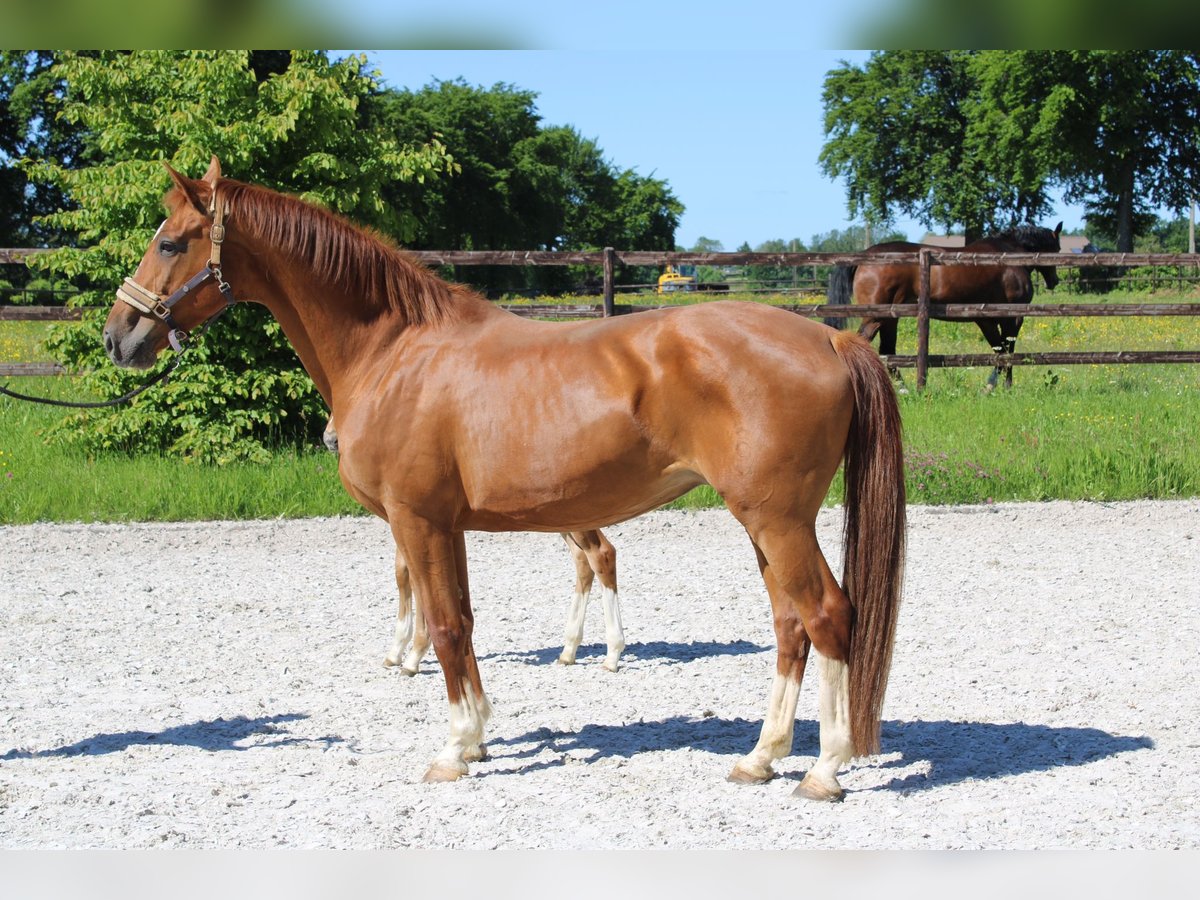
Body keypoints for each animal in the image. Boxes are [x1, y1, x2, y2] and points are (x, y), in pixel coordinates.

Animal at [326, 420, 624, 672]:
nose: (330, 439)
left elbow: (413, 580)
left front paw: (413, 655)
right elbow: (404, 576)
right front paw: (397, 650)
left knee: (601, 554)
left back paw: (611, 654)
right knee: (583, 561)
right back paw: (569, 650)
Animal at [830, 224, 1065, 388]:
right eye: (1057, 248)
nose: (1054, 281)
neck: (1008, 255)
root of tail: (865, 255)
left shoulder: (986, 319)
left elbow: (999, 350)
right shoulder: (1011, 318)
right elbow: (1007, 351)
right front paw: (1000, 386)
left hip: (889, 318)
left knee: (887, 351)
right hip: (876, 317)